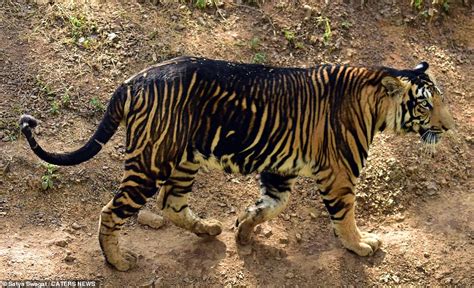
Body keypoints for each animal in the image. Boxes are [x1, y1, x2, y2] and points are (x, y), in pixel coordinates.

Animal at [19, 56, 456, 270]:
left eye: (441, 101)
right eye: (426, 105)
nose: (450, 127)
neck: (376, 105)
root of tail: (133, 79)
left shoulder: (280, 170)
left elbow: (270, 205)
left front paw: (243, 230)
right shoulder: (340, 174)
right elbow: (345, 216)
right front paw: (361, 245)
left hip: (184, 159)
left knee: (170, 203)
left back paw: (209, 229)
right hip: (151, 161)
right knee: (112, 210)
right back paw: (118, 262)